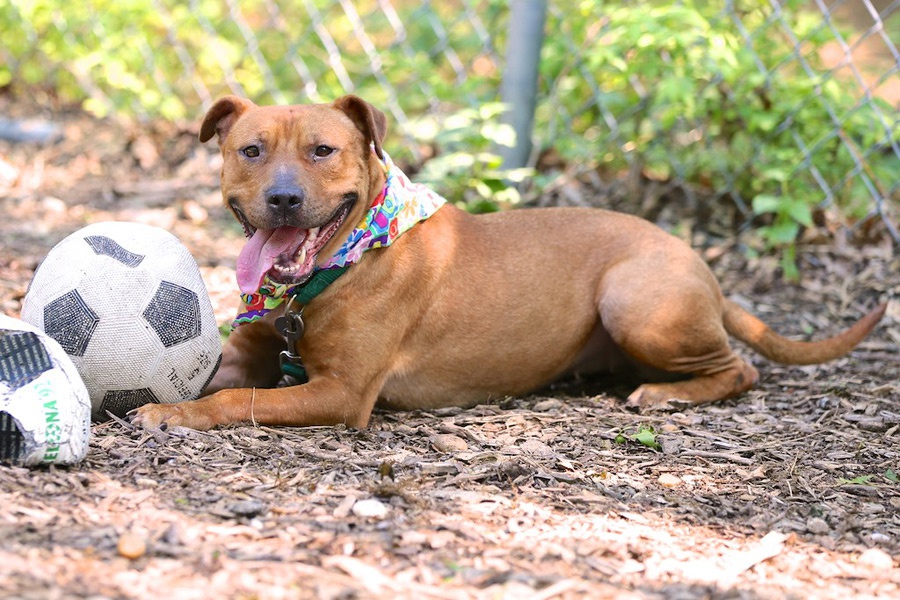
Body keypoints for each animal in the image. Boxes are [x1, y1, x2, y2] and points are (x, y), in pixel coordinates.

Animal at [132, 96, 884, 428]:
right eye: (252, 150)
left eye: (323, 151)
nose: (284, 200)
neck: (342, 261)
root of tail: (698, 263)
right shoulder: (247, 351)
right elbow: (208, 379)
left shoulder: (341, 394)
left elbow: (239, 399)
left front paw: (175, 417)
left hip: (634, 299)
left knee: (741, 369)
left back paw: (665, 393)